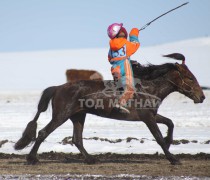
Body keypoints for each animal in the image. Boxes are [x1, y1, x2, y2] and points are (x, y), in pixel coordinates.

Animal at [14, 53, 205, 165]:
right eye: (189, 78)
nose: (202, 97)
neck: (149, 88)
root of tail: (58, 87)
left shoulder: (152, 115)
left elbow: (170, 123)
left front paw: (169, 141)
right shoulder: (147, 117)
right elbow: (158, 136)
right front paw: (173, 158)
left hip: (78, 116)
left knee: (77, 139)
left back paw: (91, 159)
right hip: (62, 115)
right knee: (43, 133)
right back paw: (31, 159)